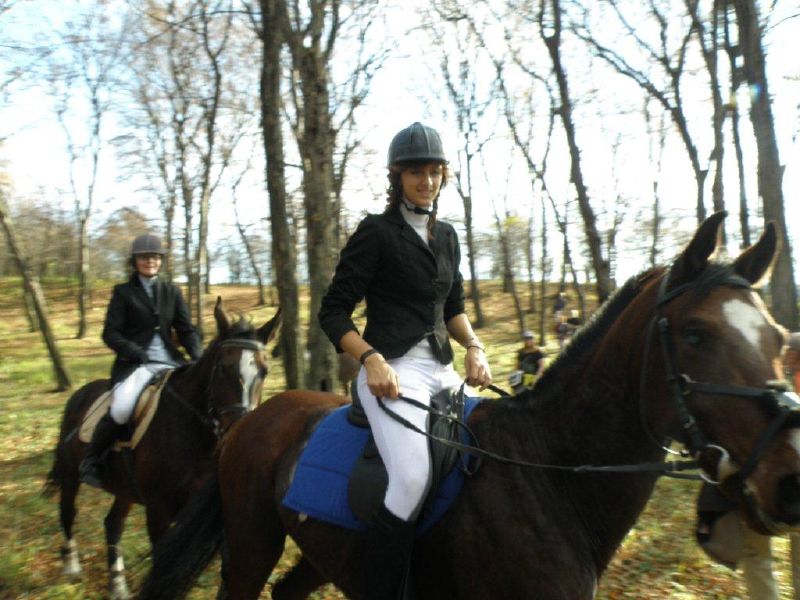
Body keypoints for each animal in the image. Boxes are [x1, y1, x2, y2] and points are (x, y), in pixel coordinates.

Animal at [43, 297, 281, 599]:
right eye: (223, 367)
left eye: (264, 371)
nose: (239, 430)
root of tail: (79, 395)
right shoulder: (158, 509)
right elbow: (161, 556)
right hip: (71, 474)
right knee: (68, 511)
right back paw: (72, 566)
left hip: (125, 488)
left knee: (113, 523)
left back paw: (117, 586)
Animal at [139, 212, 800, 600]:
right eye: (694, 334)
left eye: (777, 338)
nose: (788, 479)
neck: (549, 476)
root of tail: (252, 420)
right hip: (253, 544)